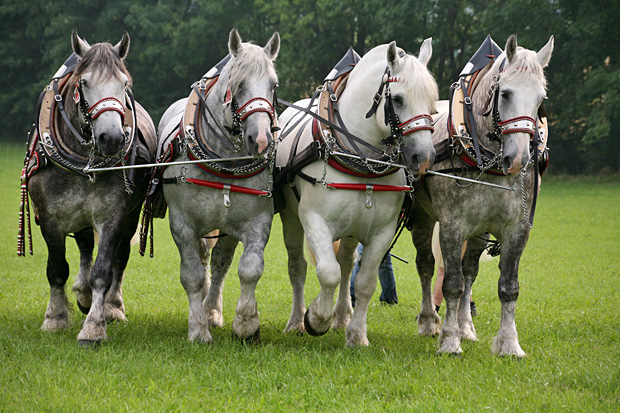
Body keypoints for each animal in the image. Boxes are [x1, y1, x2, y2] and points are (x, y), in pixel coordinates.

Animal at [25, 29, 157, 344]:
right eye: (84, 82)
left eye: (124, 83)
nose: (112, 138)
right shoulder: (50, 217)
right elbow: (57, 268)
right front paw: (55, 318)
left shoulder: (113, 217)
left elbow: (103, 271)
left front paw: (95, 326)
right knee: (84, 245)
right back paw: (82, 293)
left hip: (129, 216)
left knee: (119, 257)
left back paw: (111, 306)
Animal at [156, 29, 280, 342]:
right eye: (239, 84)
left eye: (273, 85)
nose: (261, 140)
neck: (223, 162)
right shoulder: (182, 225)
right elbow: (192, 275)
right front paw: (198, 328)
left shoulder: (257, 221)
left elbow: (249, 269)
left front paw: (246, 324)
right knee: (203, 262)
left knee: (220, 263)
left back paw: (212, 310)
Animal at [278, 40, 438, 346]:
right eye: (398, 99)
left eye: (433, 103)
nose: (423, 158)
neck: (359, 160)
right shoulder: (314, 220)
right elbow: (327, 273)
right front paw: (316, 318)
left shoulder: (382, 231)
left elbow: (364, 282)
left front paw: (357, 335)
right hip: (291, 218)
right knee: (297, 266)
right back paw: (295, 321)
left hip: (353, 228)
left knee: (345, 262)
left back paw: (342, 316)